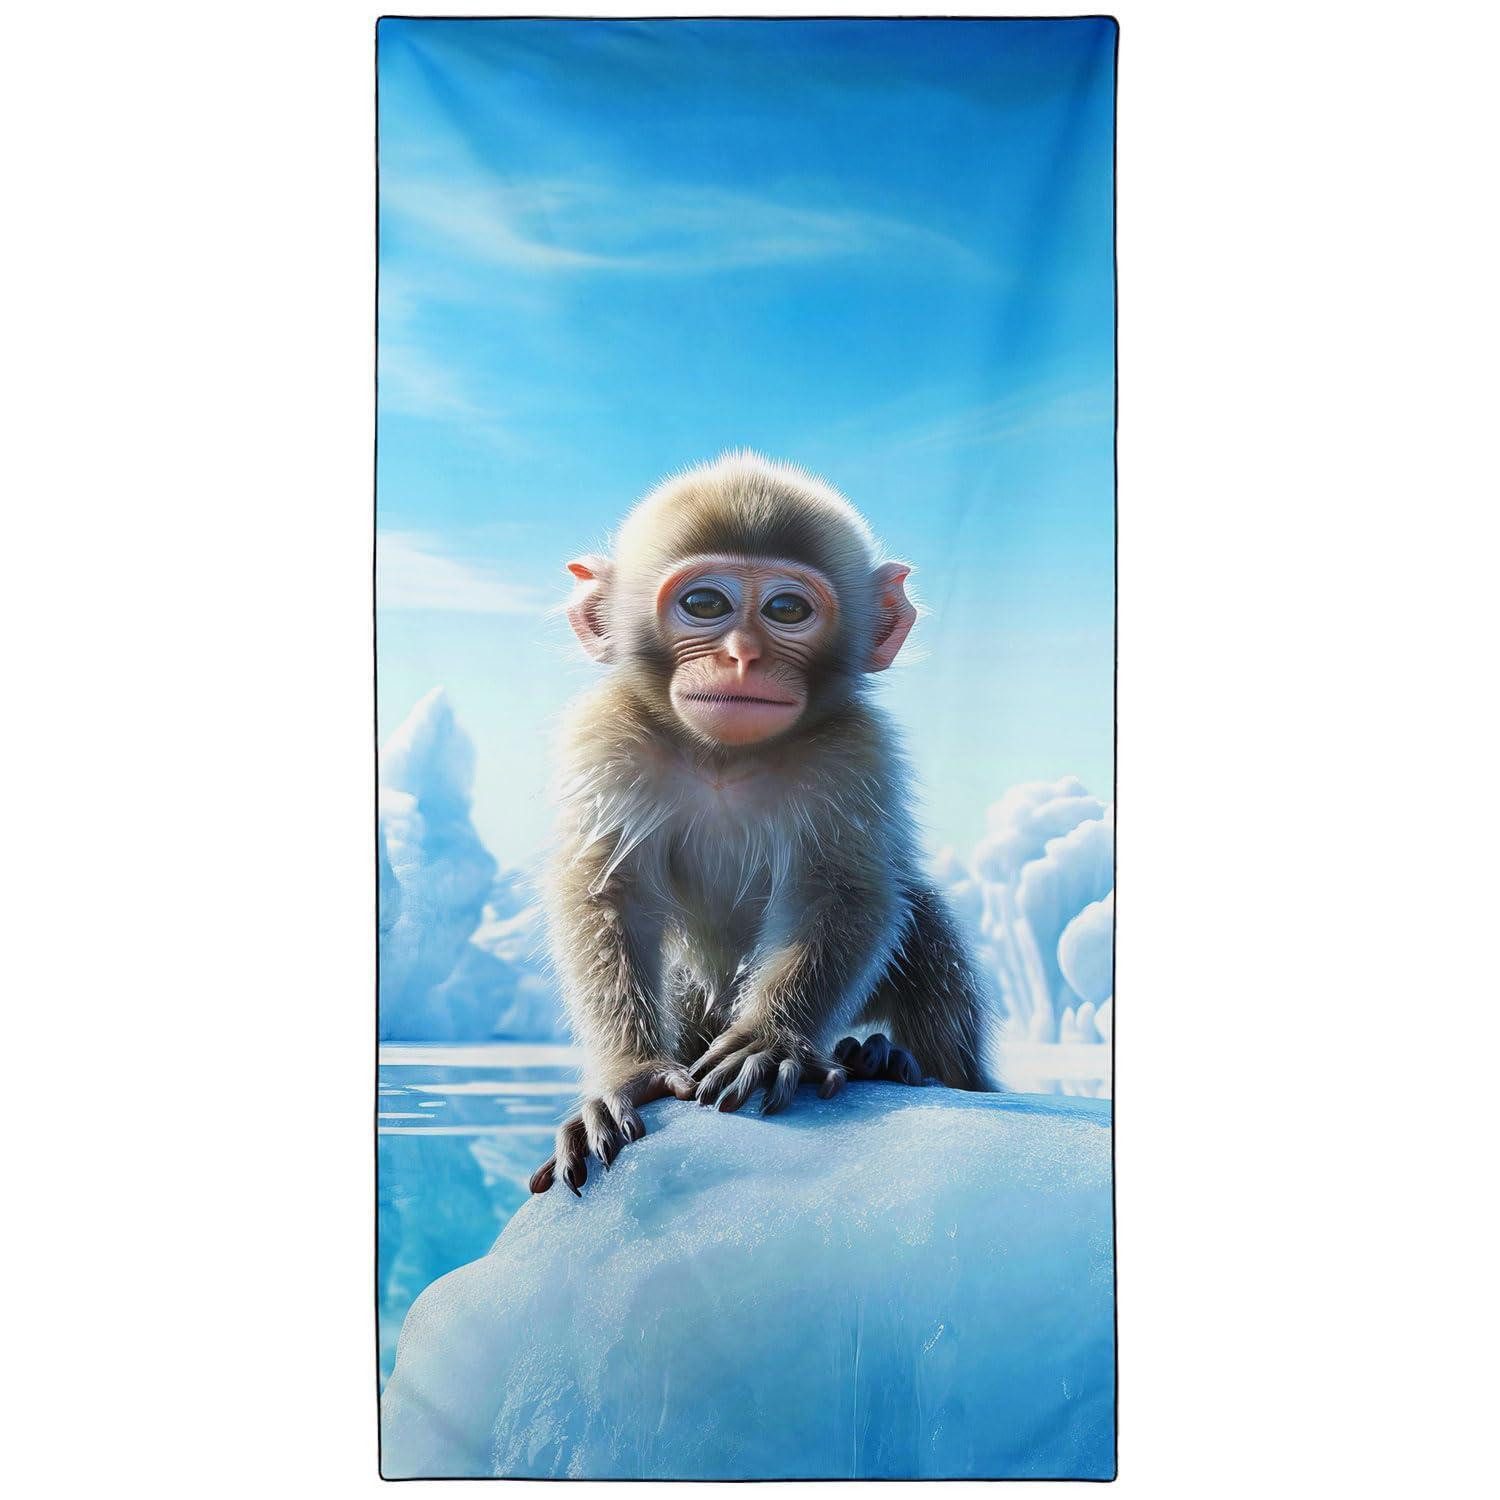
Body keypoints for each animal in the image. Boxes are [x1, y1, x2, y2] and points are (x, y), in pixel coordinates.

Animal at [529, 452, 992, 1196]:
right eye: (704, 604)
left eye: (786, 610)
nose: (742, 656)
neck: (726, 760)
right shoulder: (604, 735)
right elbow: (607, 891)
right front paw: (631, 1074)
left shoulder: (856, 750)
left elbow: (843, 889)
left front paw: (772, 1041)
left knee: (919, 915)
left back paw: (899, 1063)